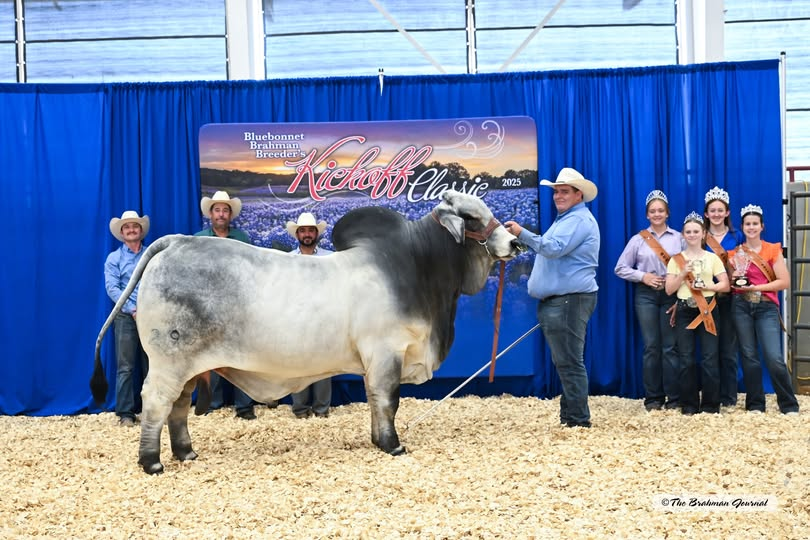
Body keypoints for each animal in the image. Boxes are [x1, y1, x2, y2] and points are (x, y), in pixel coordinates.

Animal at [91, 190, 522, 474]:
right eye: (472, 218)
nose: (515, 242)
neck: (419, 267)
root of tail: (175, 243)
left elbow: (374, 400)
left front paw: (376, 440)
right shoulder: (386, 353)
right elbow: (388, 400)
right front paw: (392, 445)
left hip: (190, 367)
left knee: (179, 406)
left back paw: (186, 453)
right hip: (168, 361)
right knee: (156, 402)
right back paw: (151, 462)